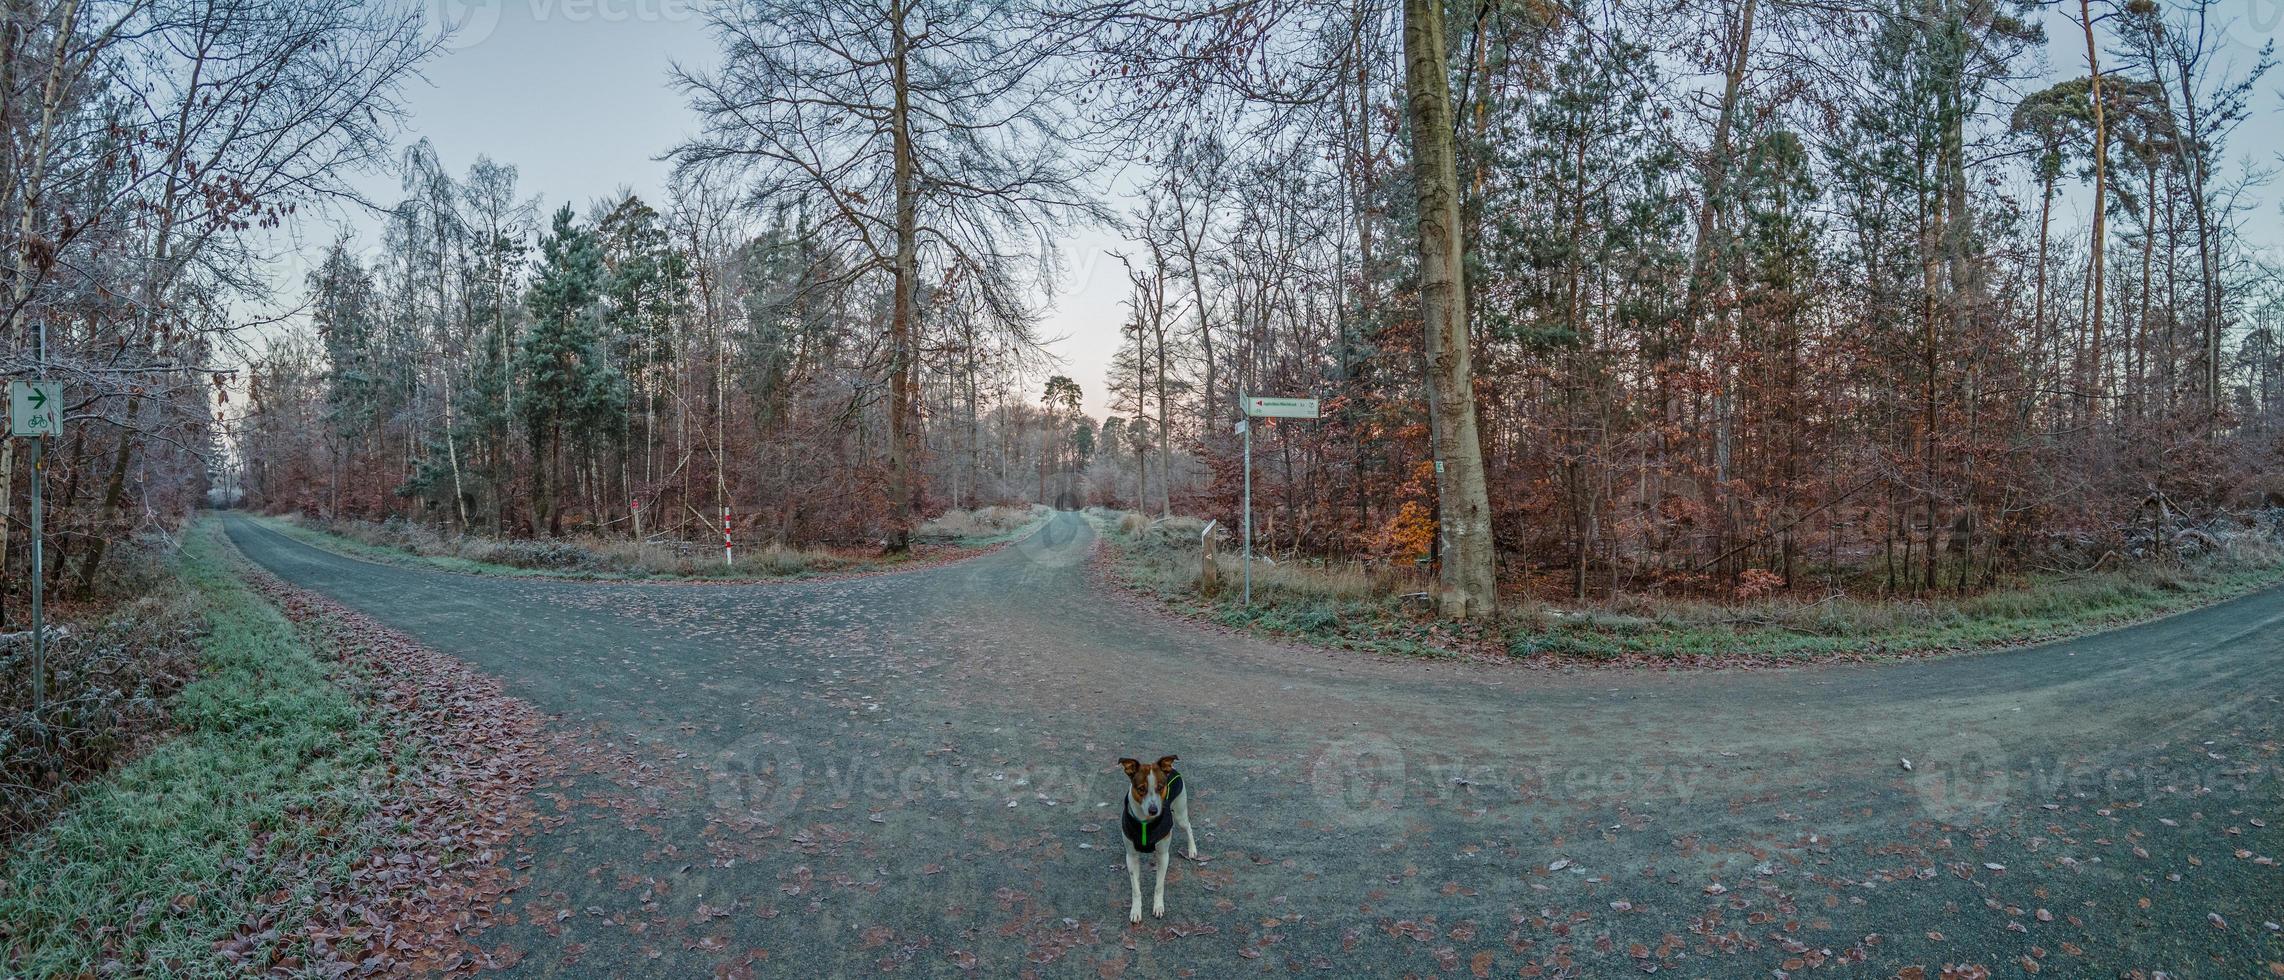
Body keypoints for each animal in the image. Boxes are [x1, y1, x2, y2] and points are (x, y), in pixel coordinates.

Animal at [1110, 753, 1196, 918]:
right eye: (1141, 789)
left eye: (1160, 787)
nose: (1153, 810)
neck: (1145, 823)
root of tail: (1172, 768)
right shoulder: (1131, 857)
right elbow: (1135, 889)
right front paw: (1136, 910)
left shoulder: (1163, 855)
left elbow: (1159, 885)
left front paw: (1158, 906)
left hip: (1180, 813)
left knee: (1188, 826)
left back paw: (1192, 850)